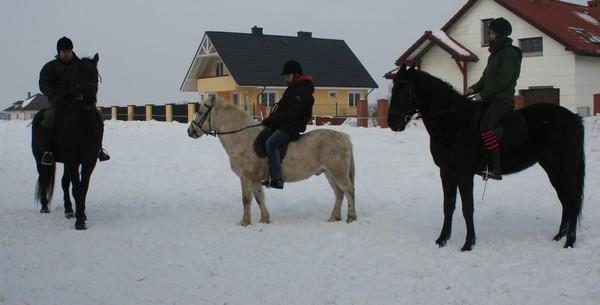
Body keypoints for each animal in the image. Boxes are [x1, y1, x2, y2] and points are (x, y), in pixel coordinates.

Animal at [31, 54, 103, 228]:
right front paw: (80, 222)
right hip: (40, 158)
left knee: (64, 182)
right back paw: (44, 207)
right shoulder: (72, 159)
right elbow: (77, 188)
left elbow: (83, 188)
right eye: (79, 75)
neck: (83, 124)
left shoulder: (89, 160)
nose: (89, 100)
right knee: (44, 178)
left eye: (95, 74)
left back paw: (69, 210)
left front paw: (81, 215)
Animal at [189, 96, 356, 224]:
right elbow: (259, 198)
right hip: (329, 173)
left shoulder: (246, 177)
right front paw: (264, 220)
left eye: (201, 112)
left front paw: (244, 222)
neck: (242, 138)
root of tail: (345, 137)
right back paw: (334, 217)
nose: (190, 131)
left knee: (348, 190)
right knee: (339, 193)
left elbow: (246, 199)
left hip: (338, 172)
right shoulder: (255, 179)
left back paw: (351, 217)